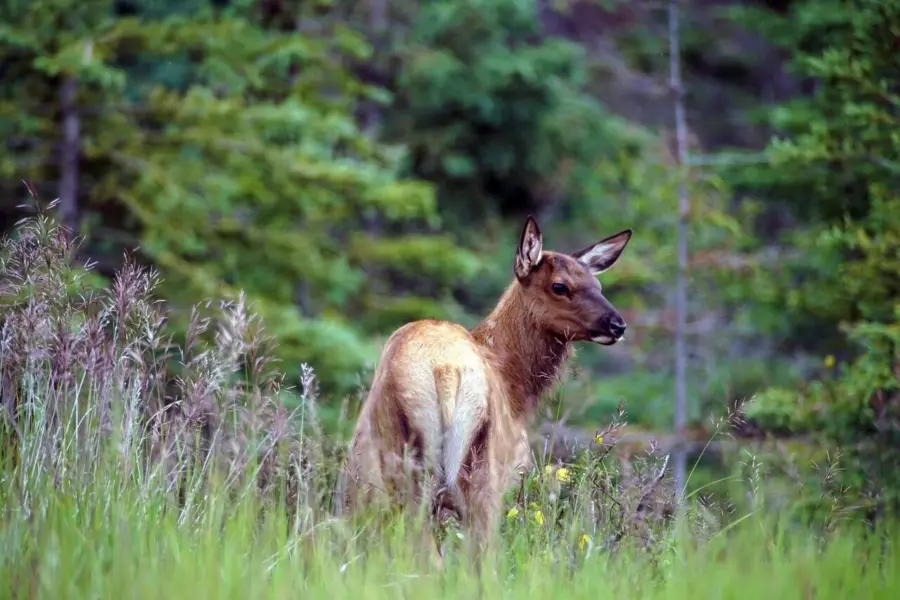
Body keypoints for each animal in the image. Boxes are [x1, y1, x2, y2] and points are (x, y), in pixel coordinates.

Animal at [334, 215, 632, 563]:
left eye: (598, 286)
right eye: (560, 286)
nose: (617, 325)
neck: (515, 388)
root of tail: (444, 370)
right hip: (471, 474)